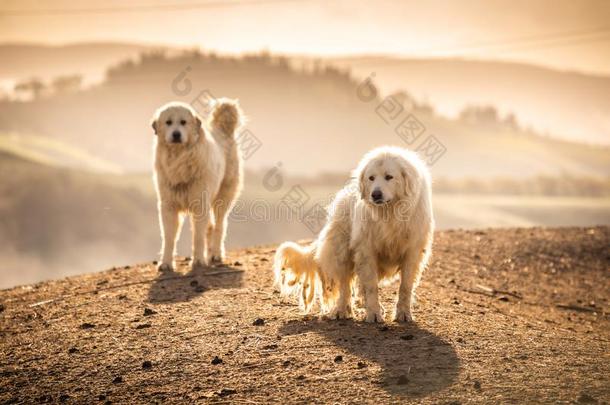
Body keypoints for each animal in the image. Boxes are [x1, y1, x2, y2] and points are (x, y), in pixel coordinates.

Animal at [150, 98, 242, 270]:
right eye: (168, 122)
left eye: (183, 122)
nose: (176, 134)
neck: (179, 158)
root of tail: (222, 130)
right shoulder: (168, 206)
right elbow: (169, 238)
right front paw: (165, 263)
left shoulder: (199, 204)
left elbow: (198, 236)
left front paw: (198, 261)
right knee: (211, 227)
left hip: (222, 199)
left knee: (219, 226)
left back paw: (215, 254)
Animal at [276, 145, 432, 322]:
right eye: (371, 178)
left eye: (389, 177)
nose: (375, 194)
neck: (389, 213)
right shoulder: (366, 250)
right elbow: (371, 286)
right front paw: (373, 314)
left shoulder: (413, 251)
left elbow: (405, 286)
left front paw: (403, 314)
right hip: (342, 251)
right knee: (345, 285)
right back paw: (341, 310)